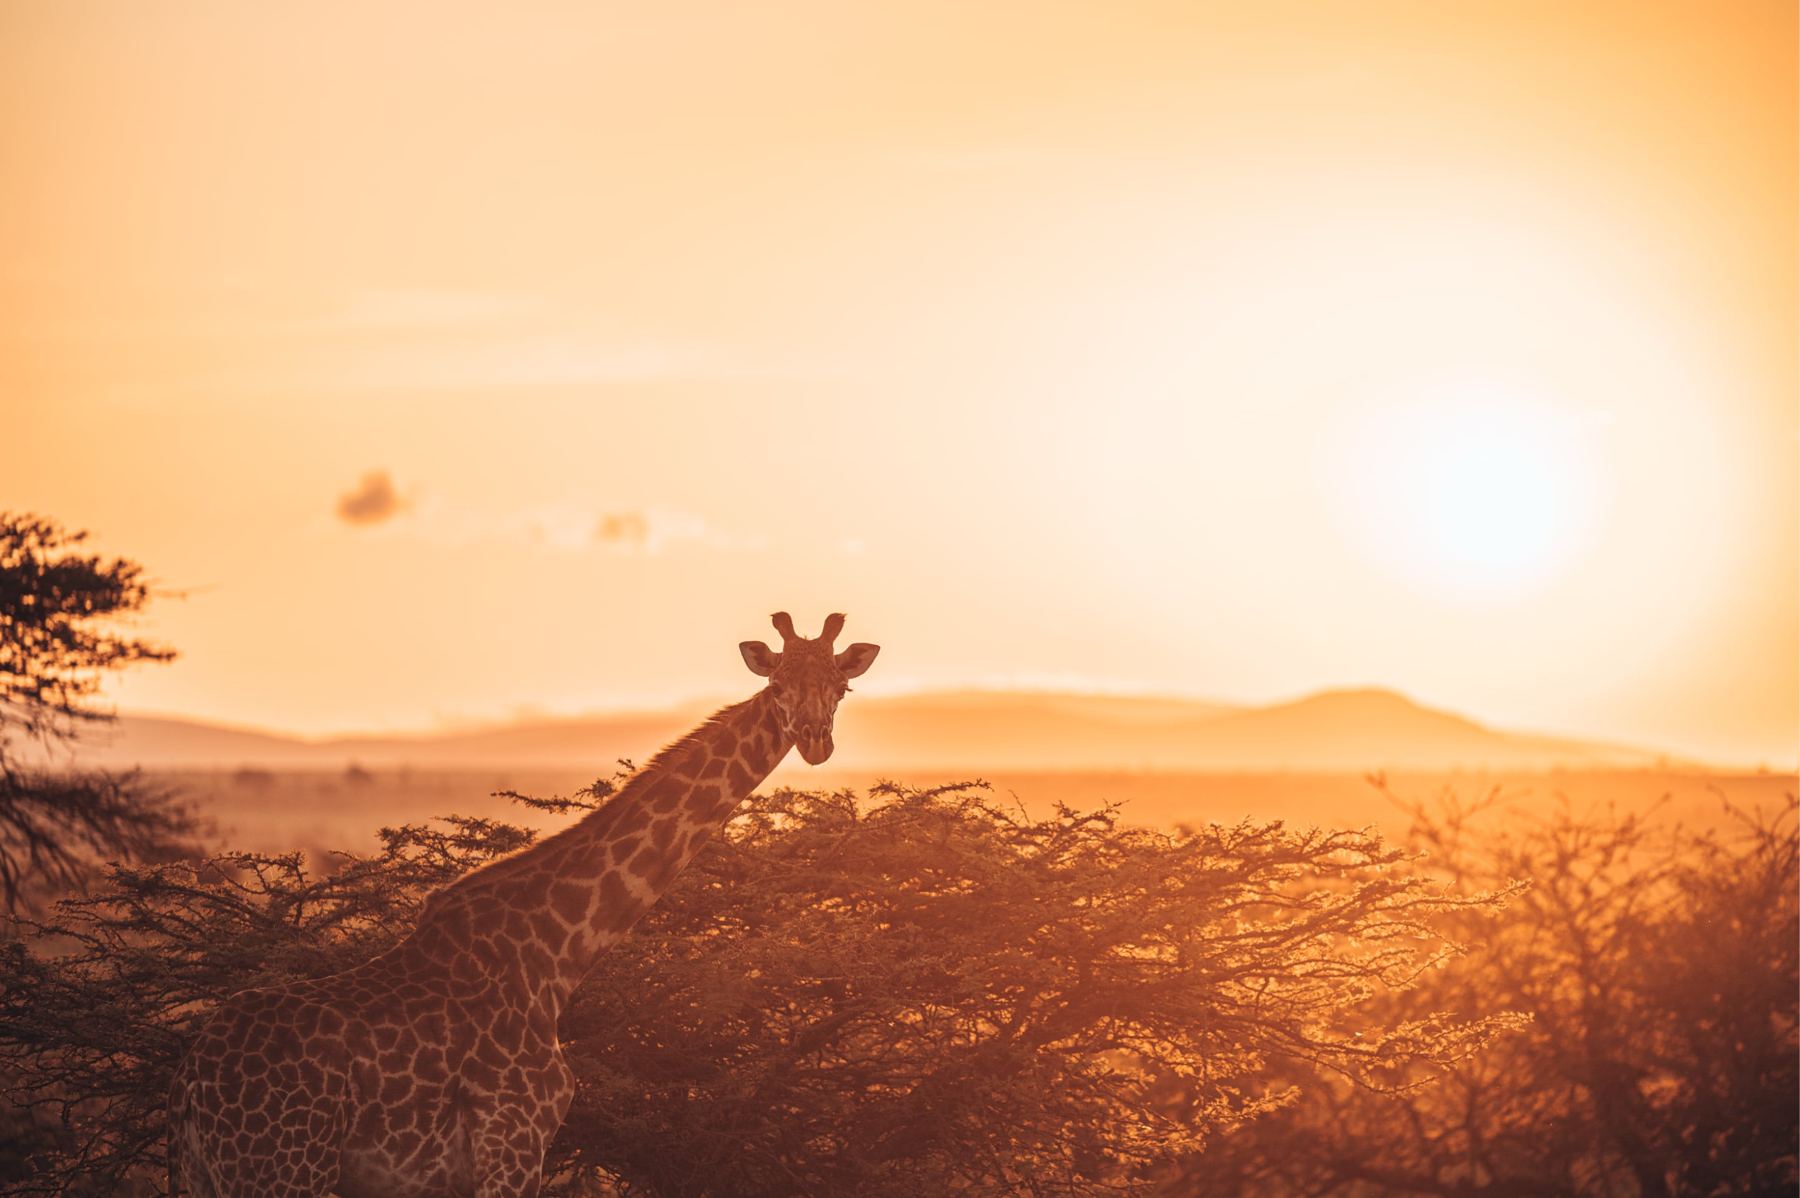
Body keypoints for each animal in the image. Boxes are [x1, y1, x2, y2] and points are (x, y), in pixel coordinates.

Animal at [168, 612, 879, 1198]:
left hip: (213, 1177)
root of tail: (192, 1084)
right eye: (778, 686)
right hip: (282, 1171)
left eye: (840, 690)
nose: (815, 740)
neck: (557, 951)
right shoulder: (513, 1141)